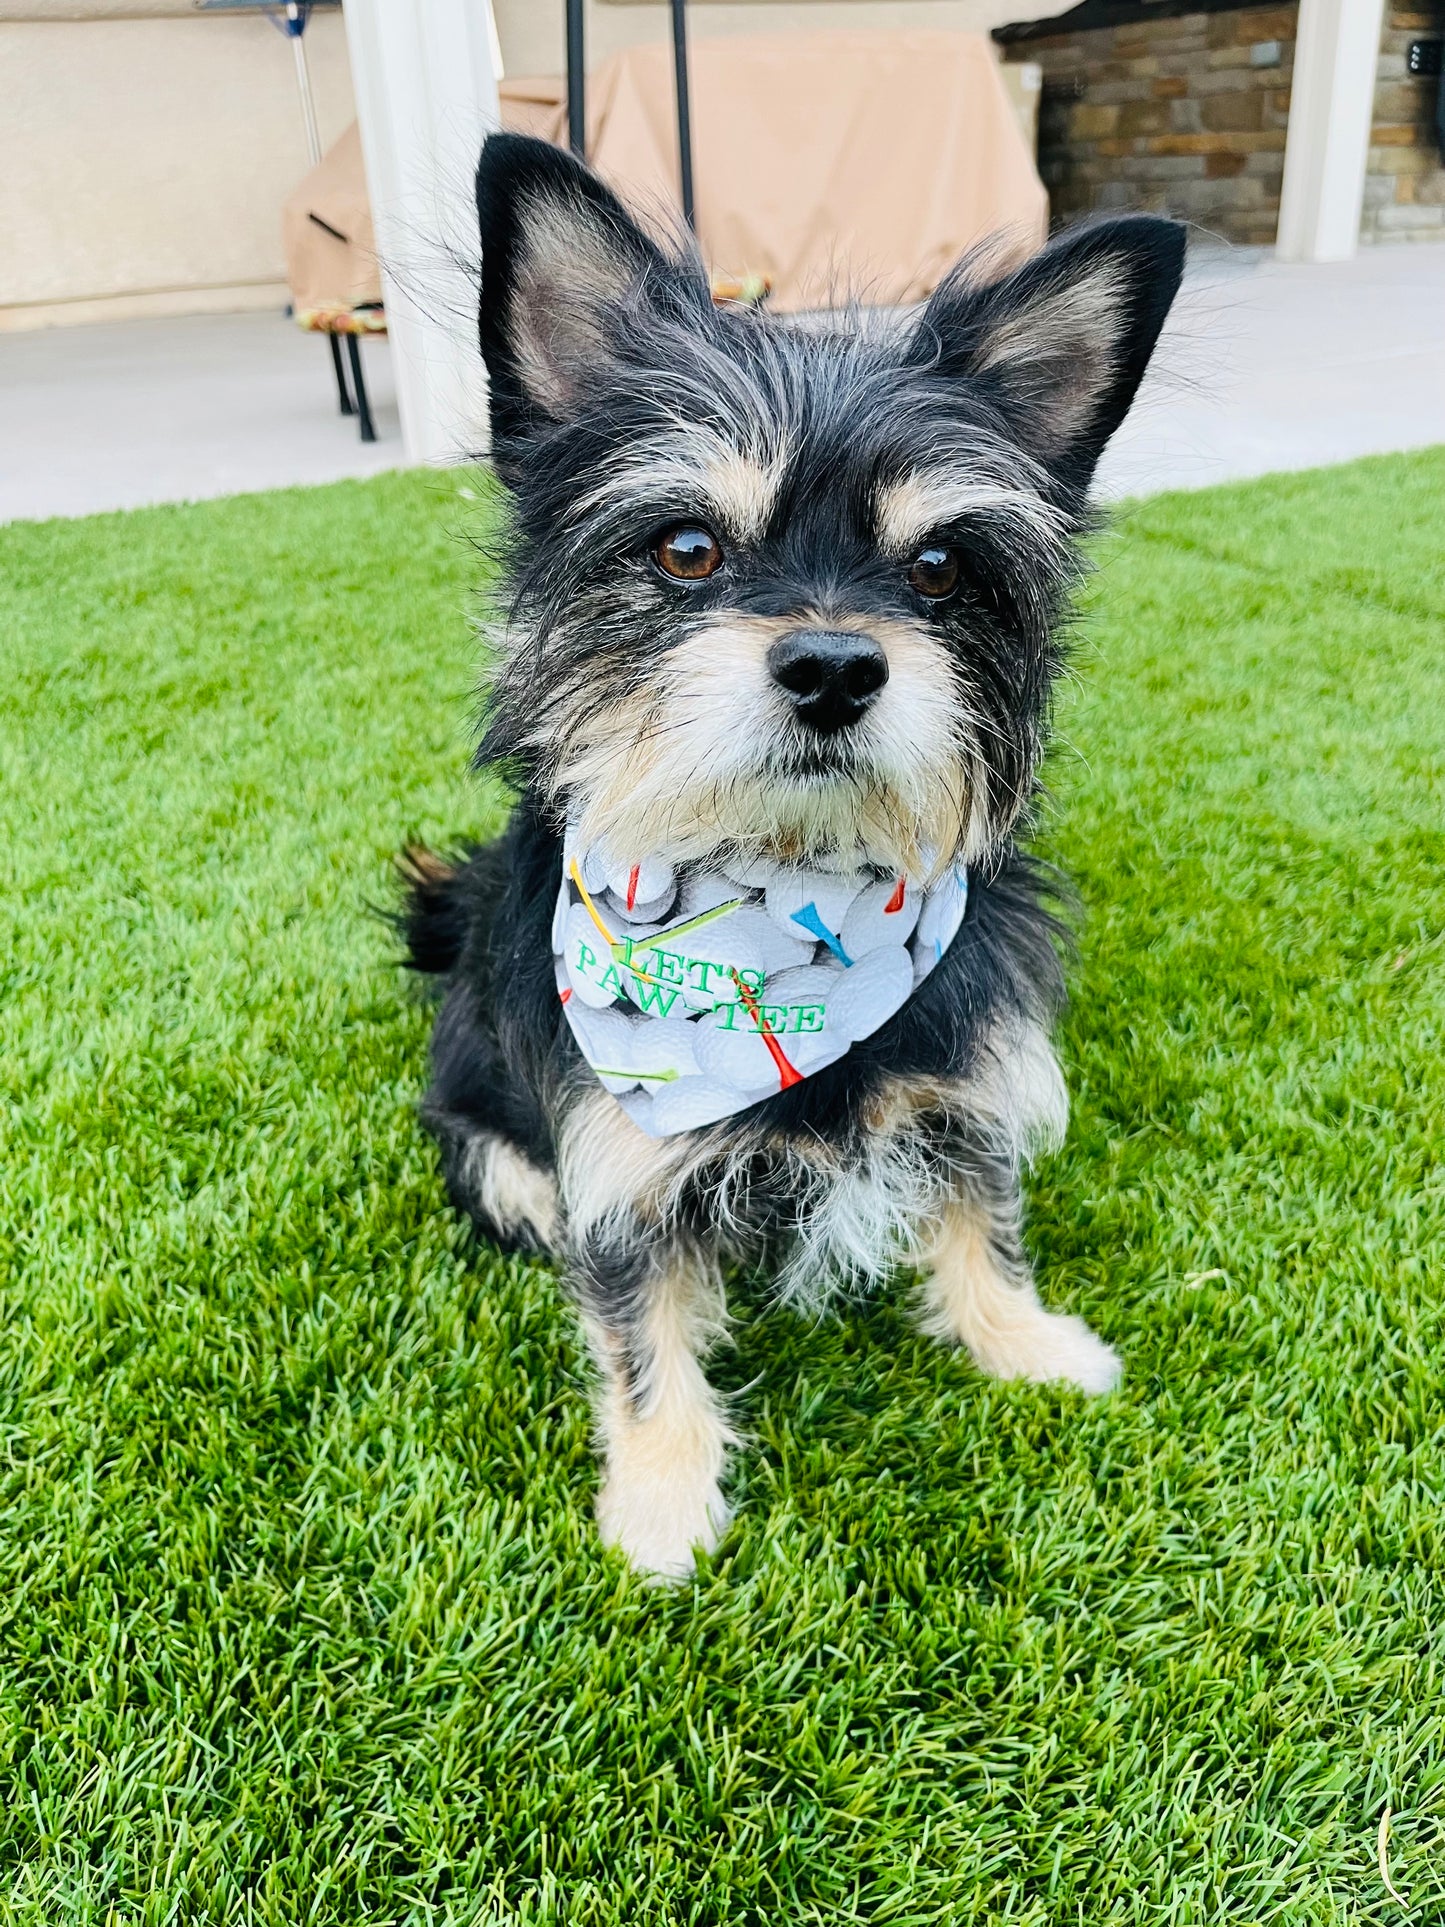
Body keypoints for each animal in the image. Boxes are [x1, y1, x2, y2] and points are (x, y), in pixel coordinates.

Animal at [404, 135, 1186, 1580]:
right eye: (686, 548)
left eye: (937, 566)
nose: (832, 666)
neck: (784, 905)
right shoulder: (615, 1167)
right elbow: (637, 1333)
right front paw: (660, 1502)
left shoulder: (966, 1078)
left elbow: (983, 1216)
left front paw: (1025, 1343)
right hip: (489, 1143)